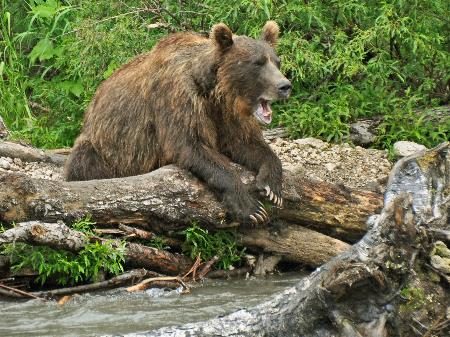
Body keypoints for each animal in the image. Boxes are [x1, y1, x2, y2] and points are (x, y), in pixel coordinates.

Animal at [66, 21, 292, 226]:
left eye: (276, 61)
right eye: (257, 63)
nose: (285, 86)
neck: (214, 93)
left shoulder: (227, 117)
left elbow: (247, 144)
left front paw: (272, 187)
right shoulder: (177, 99)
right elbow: (189, 145)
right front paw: (251, 208)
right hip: (103, 146)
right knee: (83, 161)